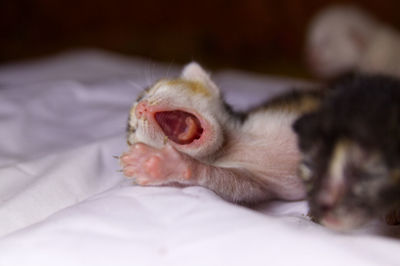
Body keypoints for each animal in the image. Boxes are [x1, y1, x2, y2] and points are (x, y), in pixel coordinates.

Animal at [120, 62, 324, 204]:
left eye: (152, 90)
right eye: (134, 130)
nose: (140, 108)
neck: (231, 143)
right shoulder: (256, 183)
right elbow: (231, 184)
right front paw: (160, 164)